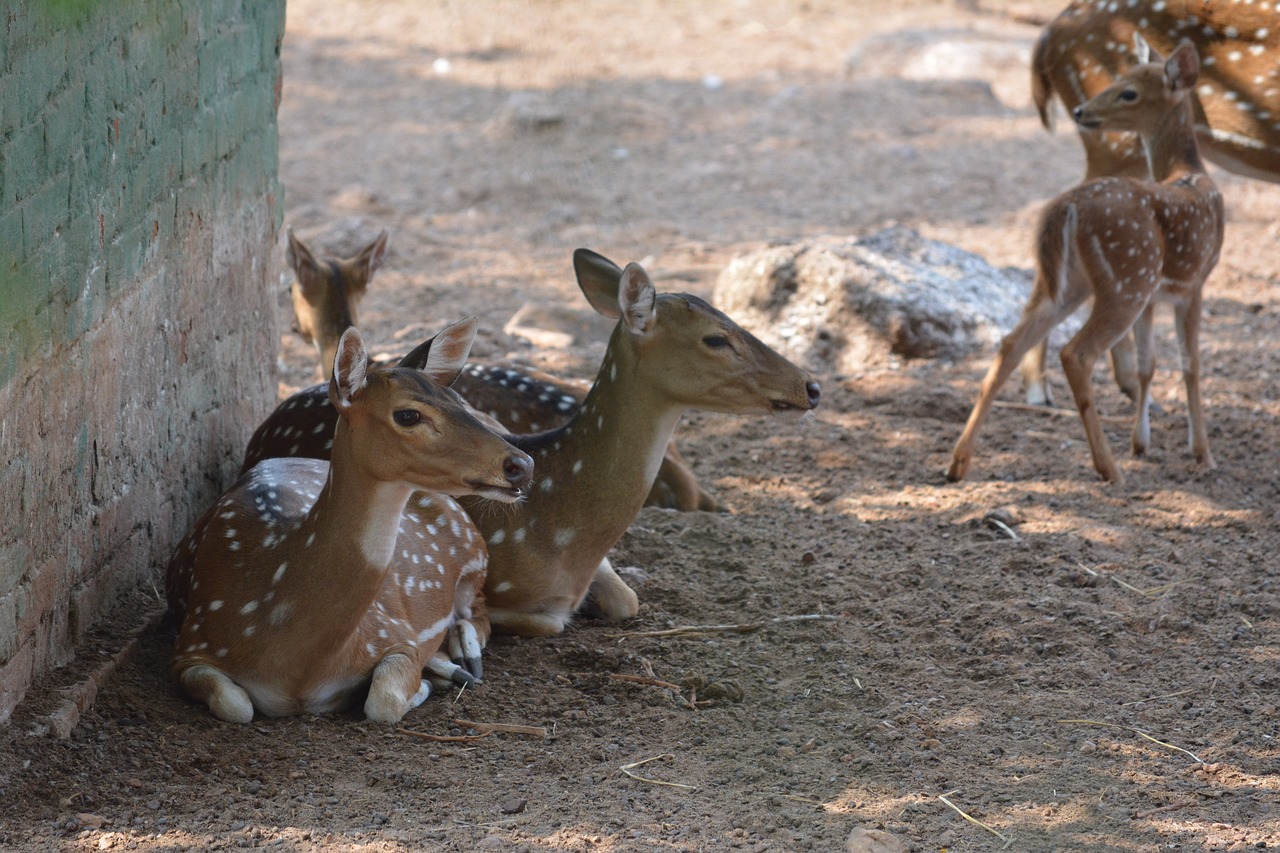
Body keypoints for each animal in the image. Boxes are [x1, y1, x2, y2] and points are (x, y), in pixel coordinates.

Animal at [165, 317, 535, 717]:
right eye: (408, 414)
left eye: (457, 400)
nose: (522, 465)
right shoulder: (191, 643)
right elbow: (236, 704)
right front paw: (428, 678)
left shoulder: (393, 633)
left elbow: (382, 701)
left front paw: (423, 681)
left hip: (474, 556)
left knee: (480, 615)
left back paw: (461, 661)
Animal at [947, 41, 1223, 484]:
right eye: (1118, 81)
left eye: (1128, 92)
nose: (1080, 110)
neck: (1191, 173)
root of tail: (1066, 207)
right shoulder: (1195, 282)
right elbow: (1190, 366)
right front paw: (1202, 454)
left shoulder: (1155, 296)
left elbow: (1148, 364)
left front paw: (1141, 444)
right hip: (1125, 279)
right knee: (1076, 353)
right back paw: (1108, 467)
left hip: (1072, 282)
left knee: (1010, 343)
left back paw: (958, 463)